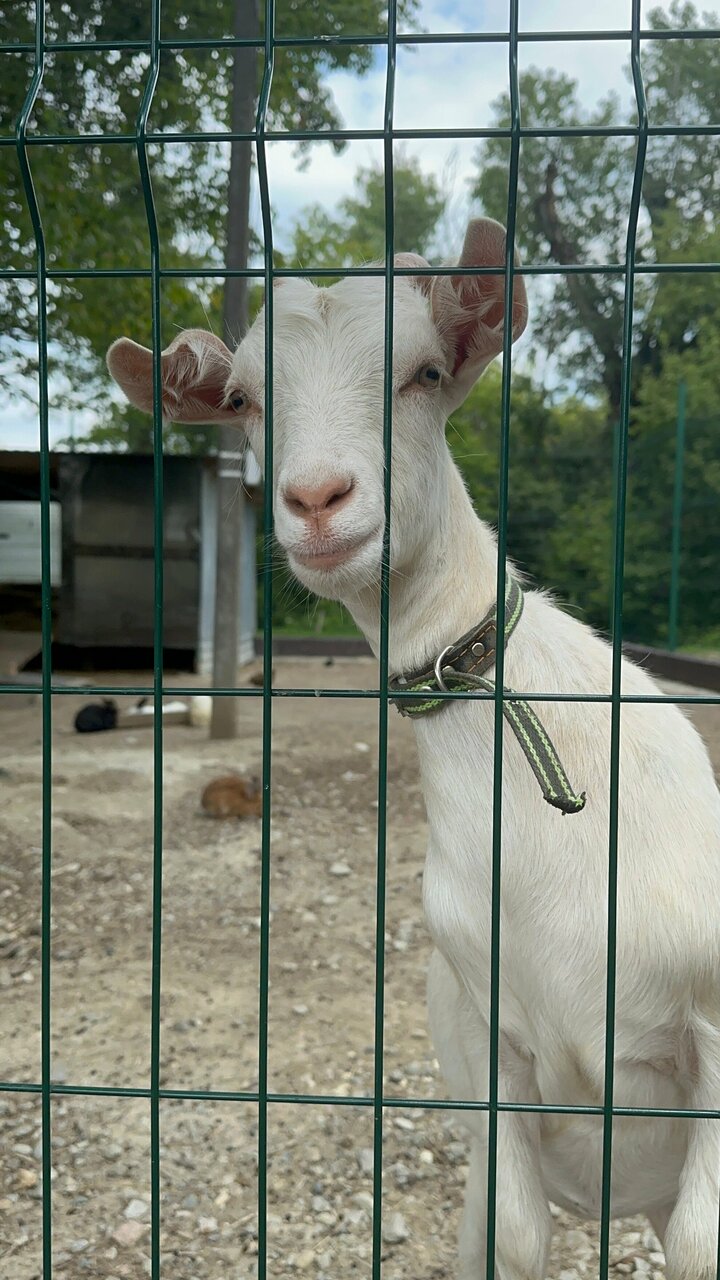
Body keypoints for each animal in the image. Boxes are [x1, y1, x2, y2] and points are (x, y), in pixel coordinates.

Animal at [108, 218, 720, 1279]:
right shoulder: (493, 1041)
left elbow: (696, 1249)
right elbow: (516, 1236)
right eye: (243, 401)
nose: (317, 499)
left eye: (426, 372)